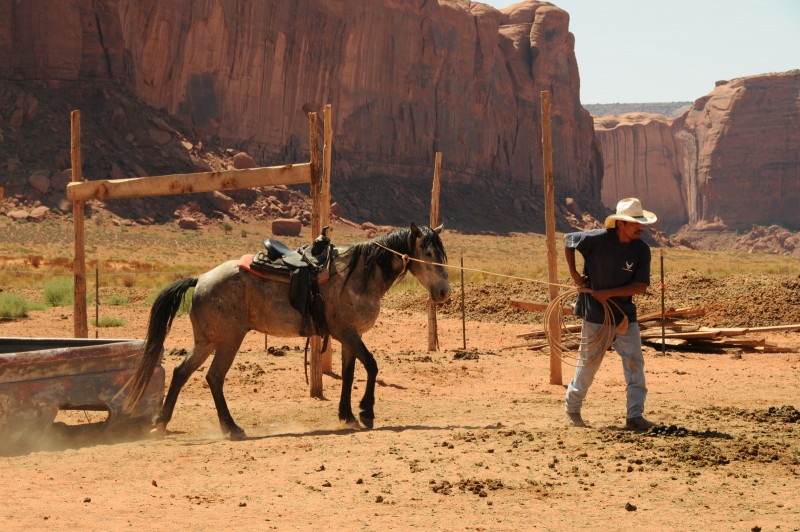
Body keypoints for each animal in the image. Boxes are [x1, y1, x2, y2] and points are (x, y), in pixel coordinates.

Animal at [124, 222, 450, 438]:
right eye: (428, 253)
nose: (444, 292)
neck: (357, 275)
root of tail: (201, 279)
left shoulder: (350, 335)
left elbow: (349, 374)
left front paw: (346, 415)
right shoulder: (347, 332)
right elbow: (371, 365)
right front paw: (366, 412)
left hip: (206, 341)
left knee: (181, 372)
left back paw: (162, 422)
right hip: (228, 340)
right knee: (214, 378)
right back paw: (231, 427)